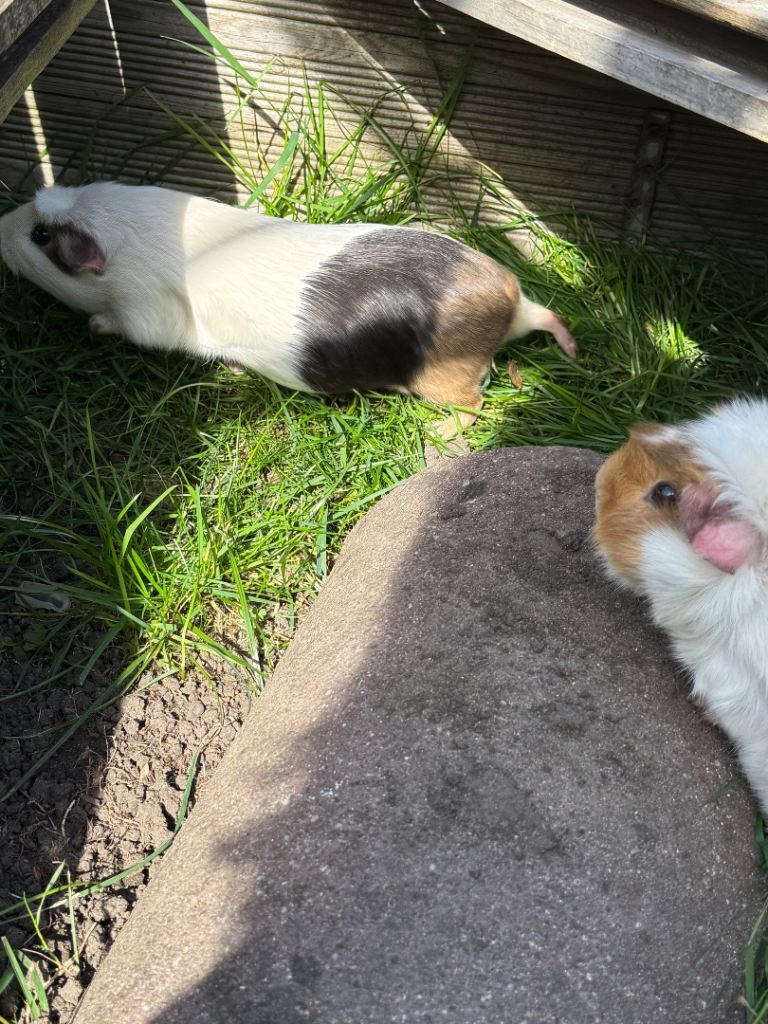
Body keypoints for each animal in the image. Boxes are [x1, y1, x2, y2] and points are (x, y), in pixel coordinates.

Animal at [0, 181, 576, 437]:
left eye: (41, 236)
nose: (2, 226)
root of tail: (507, 300)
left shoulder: (143, 318)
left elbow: (118, 323)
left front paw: (95, 324)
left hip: (445, 380)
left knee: (472, 404)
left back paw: (440, 435)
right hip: (515, 320)